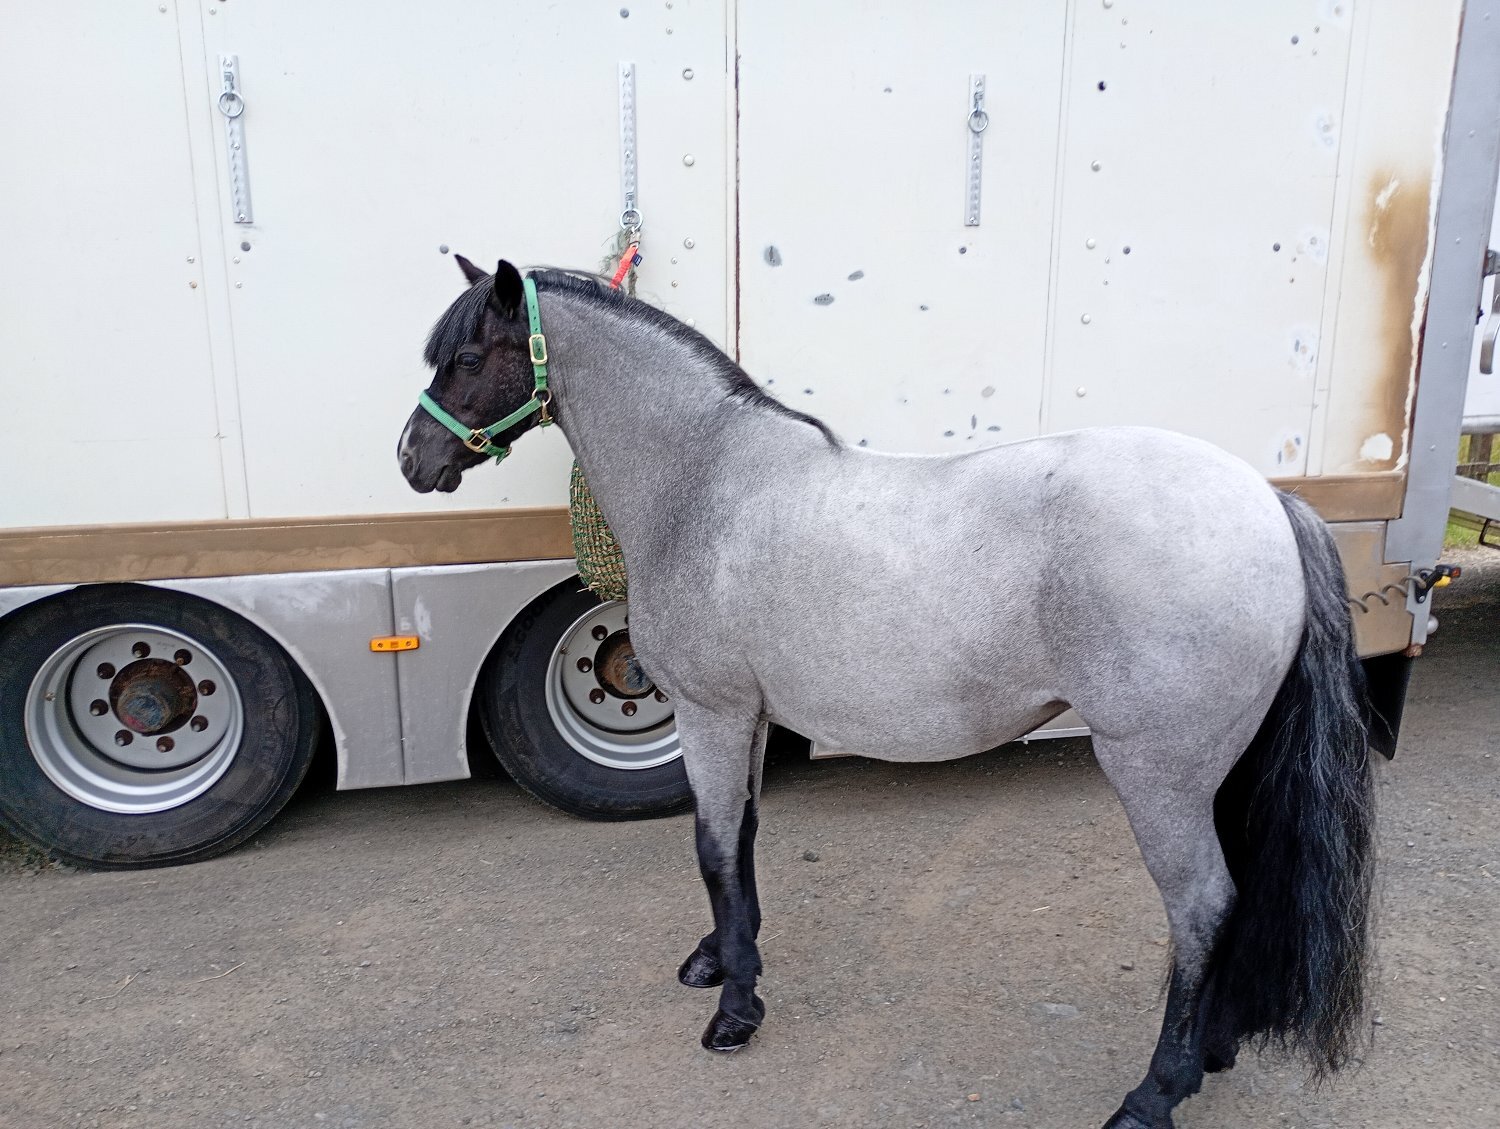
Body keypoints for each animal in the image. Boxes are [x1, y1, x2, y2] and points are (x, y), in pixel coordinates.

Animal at [396, 256, 1375, 1129]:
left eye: (470, 358)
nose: (411, 457)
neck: (709, 485)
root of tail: (1267, 502)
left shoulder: (714, 714)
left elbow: (711, 848)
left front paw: (734, 1012)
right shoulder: (752, 719)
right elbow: (741, 840)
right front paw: (723, 960)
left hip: (1158, 774)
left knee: (1202, 904)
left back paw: (1154, 1093)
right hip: (1221, 770)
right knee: (1236, 896)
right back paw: (1215, 1048)